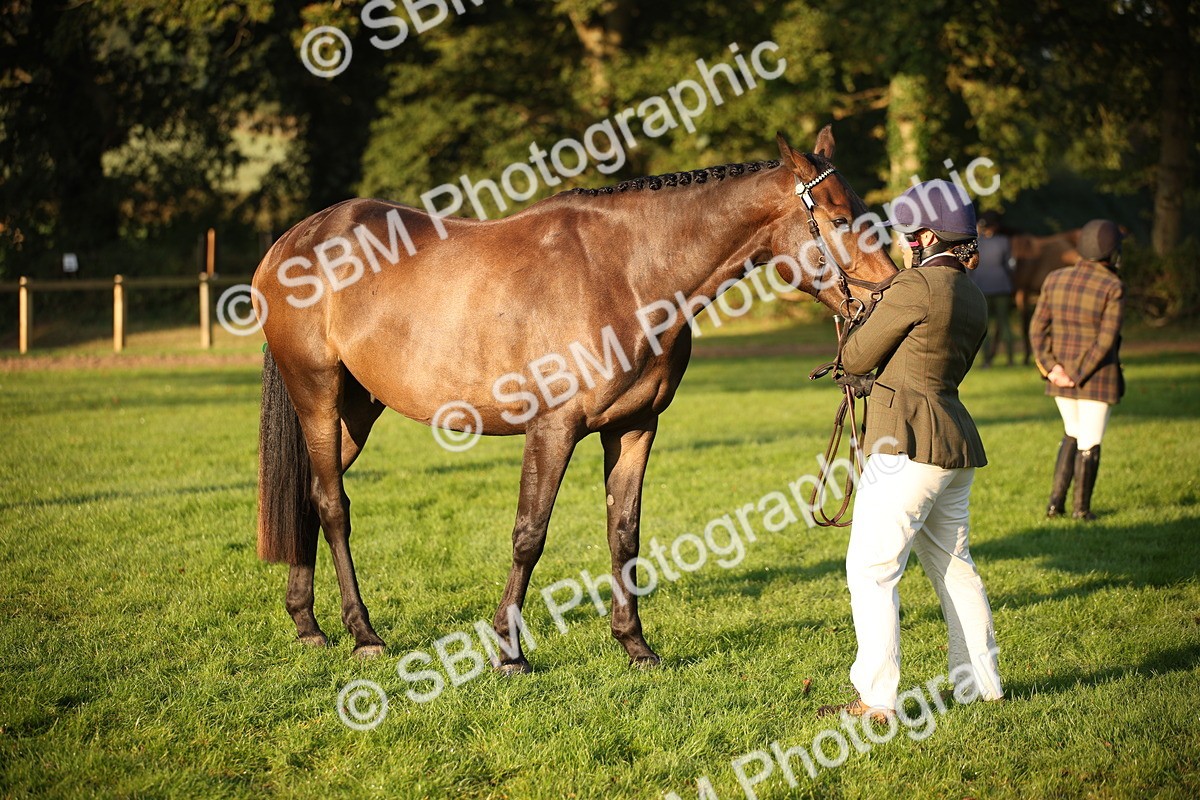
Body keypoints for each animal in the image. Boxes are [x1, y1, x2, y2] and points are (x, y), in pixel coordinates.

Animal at [251, 125, 897, 671]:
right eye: (840, 218)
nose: (886, 296)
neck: (627, 273)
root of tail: (292, 241)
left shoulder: (634, 428)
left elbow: (624, 532)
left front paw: (635, 644)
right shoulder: (552, 429)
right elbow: (529, 535)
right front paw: (508, 652)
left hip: (356, 410)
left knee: (310, 497)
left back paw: (308, 624)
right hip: (317, 394)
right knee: (333, 505)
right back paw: (363, 633)